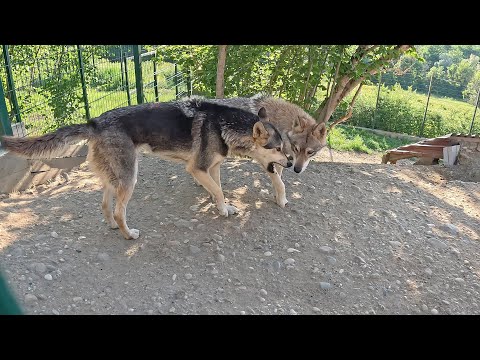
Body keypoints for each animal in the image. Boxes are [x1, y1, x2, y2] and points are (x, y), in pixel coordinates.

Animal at [0, 99, 288, 239]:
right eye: (277, 148)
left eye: (285, 147)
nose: (290, 165)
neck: (223, 125)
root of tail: (95, 122)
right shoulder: (196, 169)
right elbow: (217, 191)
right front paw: (223, 209)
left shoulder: (213, 167)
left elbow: (218, 190)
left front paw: (224, 208)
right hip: (130, 178)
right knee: (119, 212)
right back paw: (129, 235)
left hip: (114, 177)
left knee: (105, 206)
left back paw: (113, 228)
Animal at [198, 95, 326, 208]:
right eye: (296, 148)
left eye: (310, 152)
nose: (297, 170)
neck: (281, 125)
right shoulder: (266, 161)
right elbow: (280, 183)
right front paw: (282, 201)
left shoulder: (280, 160)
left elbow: (279, 178)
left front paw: (277, 197)